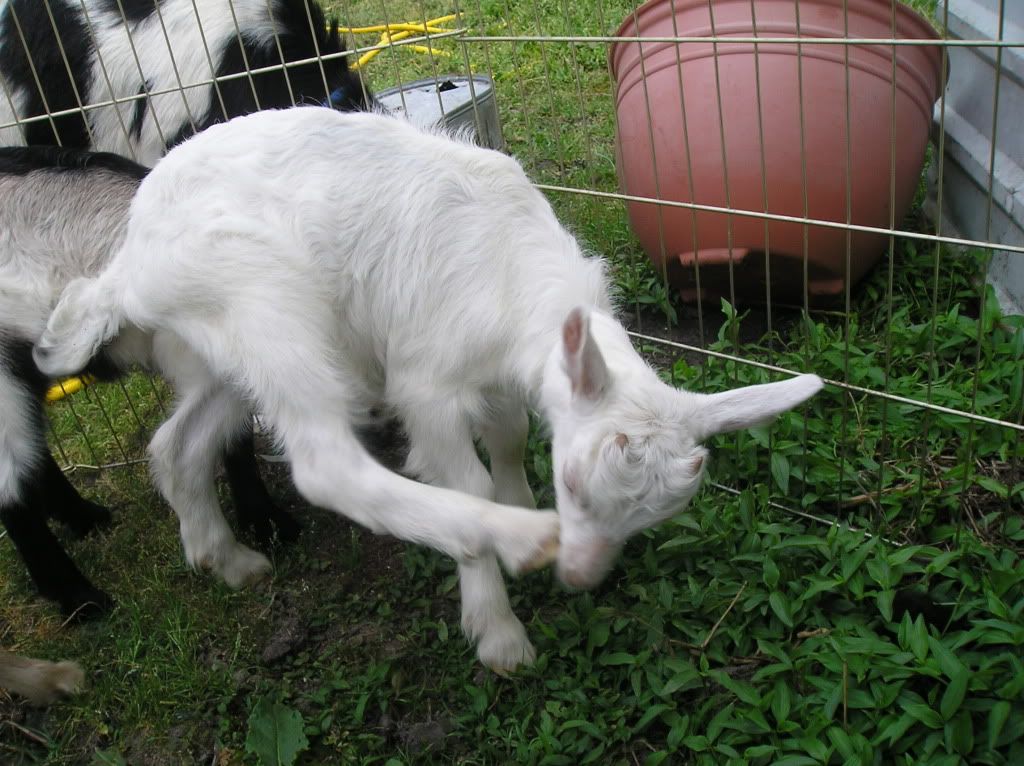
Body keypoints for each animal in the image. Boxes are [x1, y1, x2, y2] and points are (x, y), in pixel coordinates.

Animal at [0, 145, 299, 619]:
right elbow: (186, 448)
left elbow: (234, 441)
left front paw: (266, 521)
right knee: (11, 490)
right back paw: (80, 600)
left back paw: (85, 518)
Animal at [34, 108, 822, 672]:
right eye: (573, 483)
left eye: (653, 518)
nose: (579, 577)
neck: (512, 269)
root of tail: (130, 263)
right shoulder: (428, 382)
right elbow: (463, 476)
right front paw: (499, 618)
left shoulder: (503, 378)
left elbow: (509, 438)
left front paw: (516, 504)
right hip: (266, 302)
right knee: (323, 463)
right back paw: (513, 541)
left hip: (222, 346)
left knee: (177, 446)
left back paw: (224, 559)